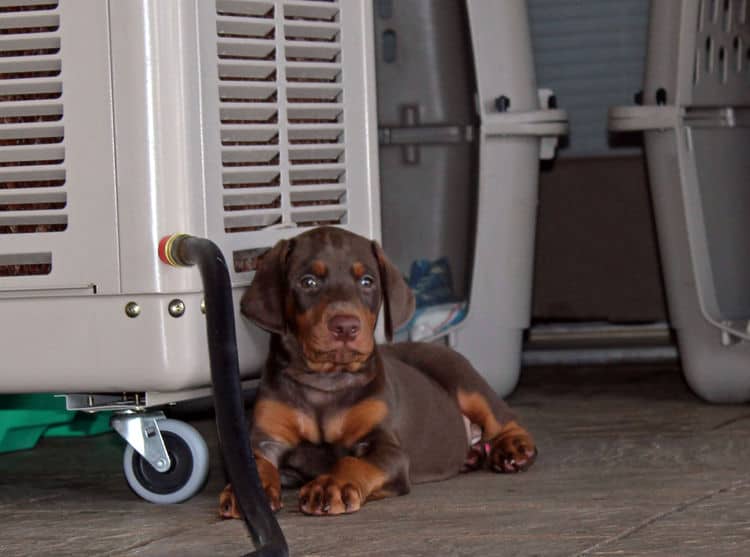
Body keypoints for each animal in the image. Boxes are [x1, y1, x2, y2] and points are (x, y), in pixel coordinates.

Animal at [220, 226, 536, 516]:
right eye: (308, 282)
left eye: (367, 281)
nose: (346, 326)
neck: (327, 380)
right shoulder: (265, 438)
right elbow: (255, 465)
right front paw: (249, 496)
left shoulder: (386, 447)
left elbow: (353, 461)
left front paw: (331, 484)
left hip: (459, 376)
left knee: (503, 418)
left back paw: (513, 447)